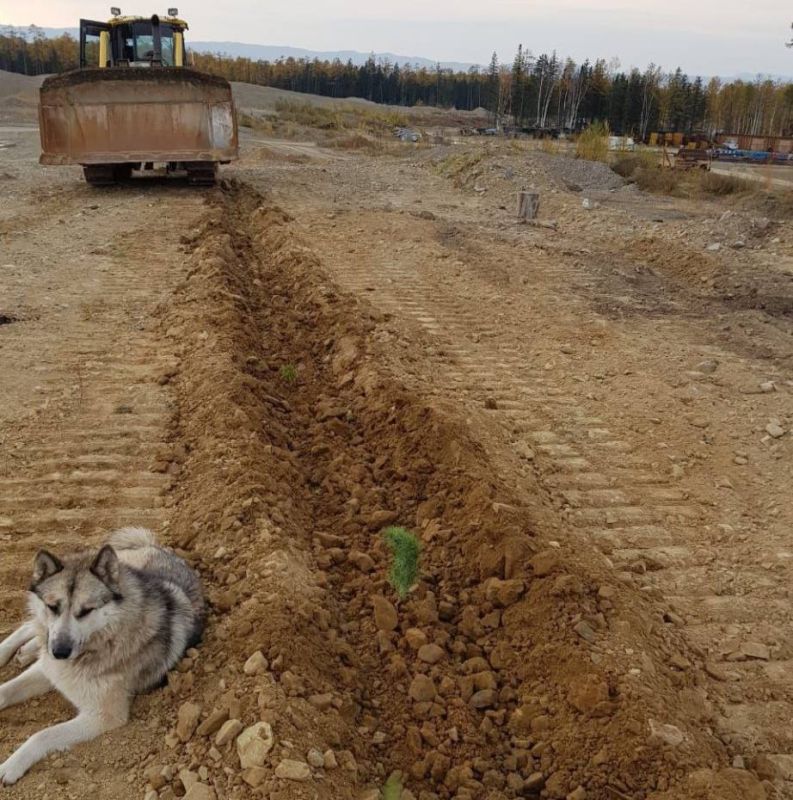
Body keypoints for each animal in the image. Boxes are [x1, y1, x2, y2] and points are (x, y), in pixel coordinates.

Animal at [0, 528, 206, 784]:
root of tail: (154, 546)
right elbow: (6, 690)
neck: (104, 640)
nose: (59, 652)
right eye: (53, 607)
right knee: (30, 624)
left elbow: (42, 735)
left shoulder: (103, 716)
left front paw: (11, 766)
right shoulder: (51, 669)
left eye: (87, 611)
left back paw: (27, 651)